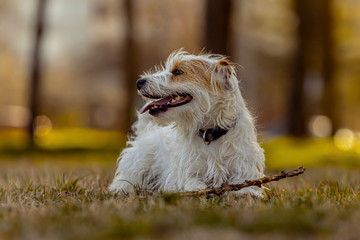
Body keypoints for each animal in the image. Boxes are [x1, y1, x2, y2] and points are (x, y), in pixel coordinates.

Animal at [109, 49, 264, 197]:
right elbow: (195, 185)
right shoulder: (189, 174)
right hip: (138, 167)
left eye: (178, 72)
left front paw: (247, 193)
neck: (211, 135)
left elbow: (245, 186)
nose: (139, 82)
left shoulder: (244, 171)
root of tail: (146, 131)